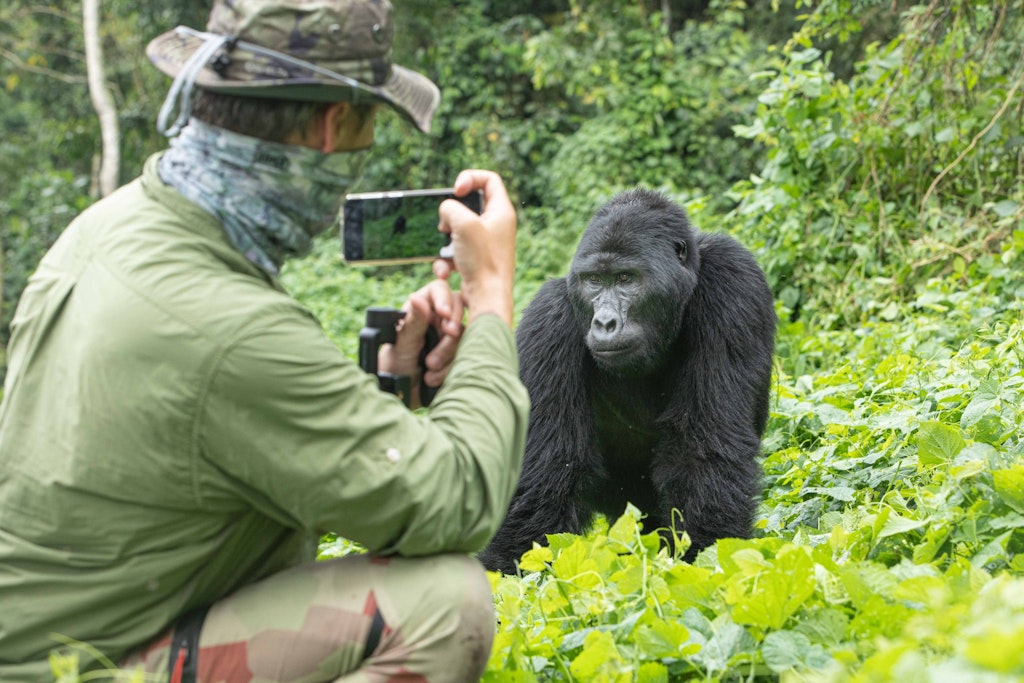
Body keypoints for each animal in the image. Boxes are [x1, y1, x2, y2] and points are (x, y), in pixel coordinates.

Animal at [479, 189, 774, 573]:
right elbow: (548, 467)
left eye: (625, 279)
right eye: (593, 281)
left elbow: (703, 446)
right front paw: (508, 572)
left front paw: (704, 559)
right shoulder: (548, 319)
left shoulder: (734, 279)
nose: (605, 322)